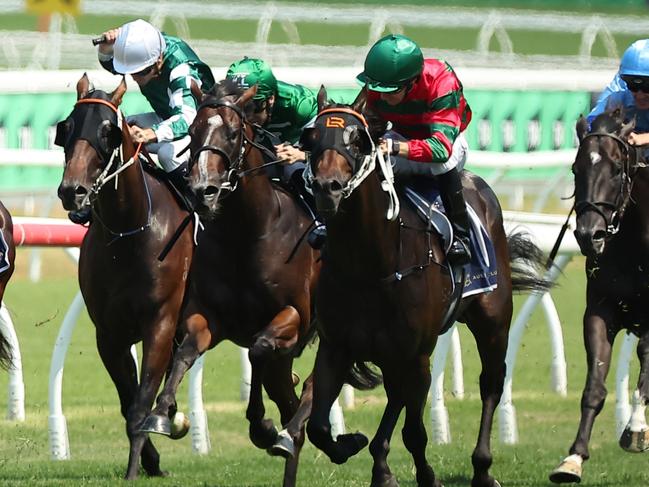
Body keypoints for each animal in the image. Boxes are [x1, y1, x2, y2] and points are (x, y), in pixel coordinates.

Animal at [56, 75, 194, 480]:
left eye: (108, 132)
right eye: (66, 128)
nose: (72, 191)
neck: (129, 232)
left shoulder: (159, 323)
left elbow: (141, 403)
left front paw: (136, 467)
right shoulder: (109, 334)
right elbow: (128, 401)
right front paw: (151, 459)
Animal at [142, 78, 318, 486]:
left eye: (234, 133)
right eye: (192, 131)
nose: (203, 190)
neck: (248, 235)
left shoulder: (295, 316)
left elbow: (258, 348)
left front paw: (261, 427)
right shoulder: (208, 316)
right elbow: (186, 351)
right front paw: (162, 412)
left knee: (311, 388)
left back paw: (293, 434)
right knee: (289, 395)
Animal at [304, 87, 552, 487]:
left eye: (358, 140)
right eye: (310, 138)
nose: (329, 188)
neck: (370, 265)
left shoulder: (417, 353)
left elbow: (415, 432)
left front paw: (427, 475)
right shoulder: (336, 346)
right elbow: (318, 428)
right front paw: (352, 442)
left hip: (493, 322)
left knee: (491, 384)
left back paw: (482, 467)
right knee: (396, 395)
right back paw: (380, 463)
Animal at [548, 107, 648, 484]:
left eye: (617, 169)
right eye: (576, 169)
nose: (590, 234)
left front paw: (636, 429)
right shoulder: (600, 311)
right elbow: (594, 387)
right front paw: (572, 459)